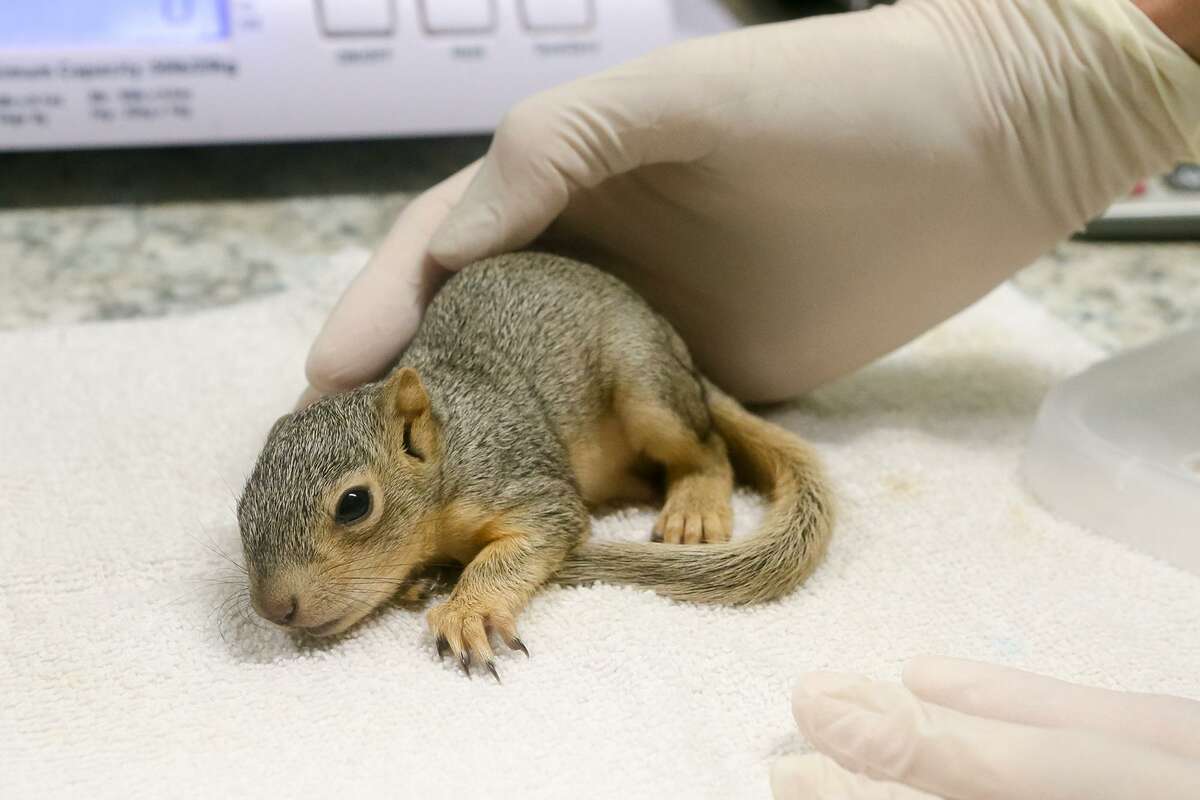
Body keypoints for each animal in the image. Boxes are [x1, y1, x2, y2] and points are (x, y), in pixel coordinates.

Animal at [237, 253, 830, 681]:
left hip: (647, 381)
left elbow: (530, 539)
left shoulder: (520, 479)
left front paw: (468, 611)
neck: (450, 450)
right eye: (241, 507)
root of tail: (678, 349)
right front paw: (420, 585)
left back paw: (695, 508)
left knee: (709, 450)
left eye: (354, 504)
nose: (272, 609)